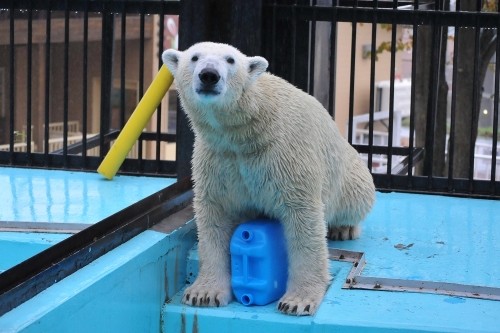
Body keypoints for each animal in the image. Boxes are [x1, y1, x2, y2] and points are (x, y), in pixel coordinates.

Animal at [162, 41, 374, 314]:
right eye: (195, 57)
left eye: (230, 60)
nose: (209, 75)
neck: (245, 133)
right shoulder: (218, 160)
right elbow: (215, 217)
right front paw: (203, 293)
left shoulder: (286, 155)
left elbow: (304, 220)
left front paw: (297, 301)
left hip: (350, 177)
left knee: (355, 197)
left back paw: (343, 229)